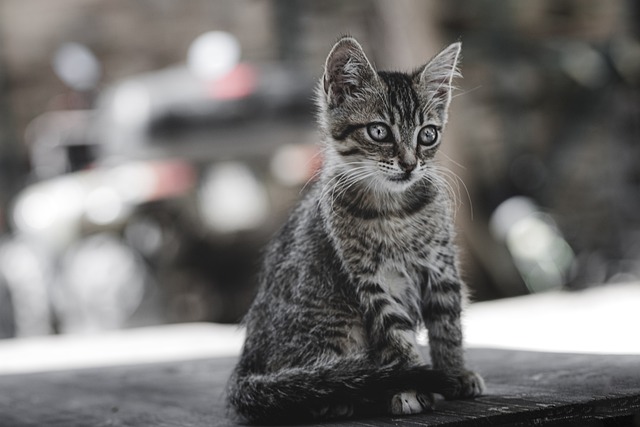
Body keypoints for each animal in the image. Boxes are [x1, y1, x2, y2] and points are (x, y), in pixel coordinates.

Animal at [228, 36, 482, 424]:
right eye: (379, 131)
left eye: (427, 135)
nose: (410, 164)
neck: (393, 211)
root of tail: (246, 365)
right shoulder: (372, 280)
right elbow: (395, 336)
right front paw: (409, 385)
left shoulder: (442, 268)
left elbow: (447, 326)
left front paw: (455, 372)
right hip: (333, 325)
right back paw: (340, 394)